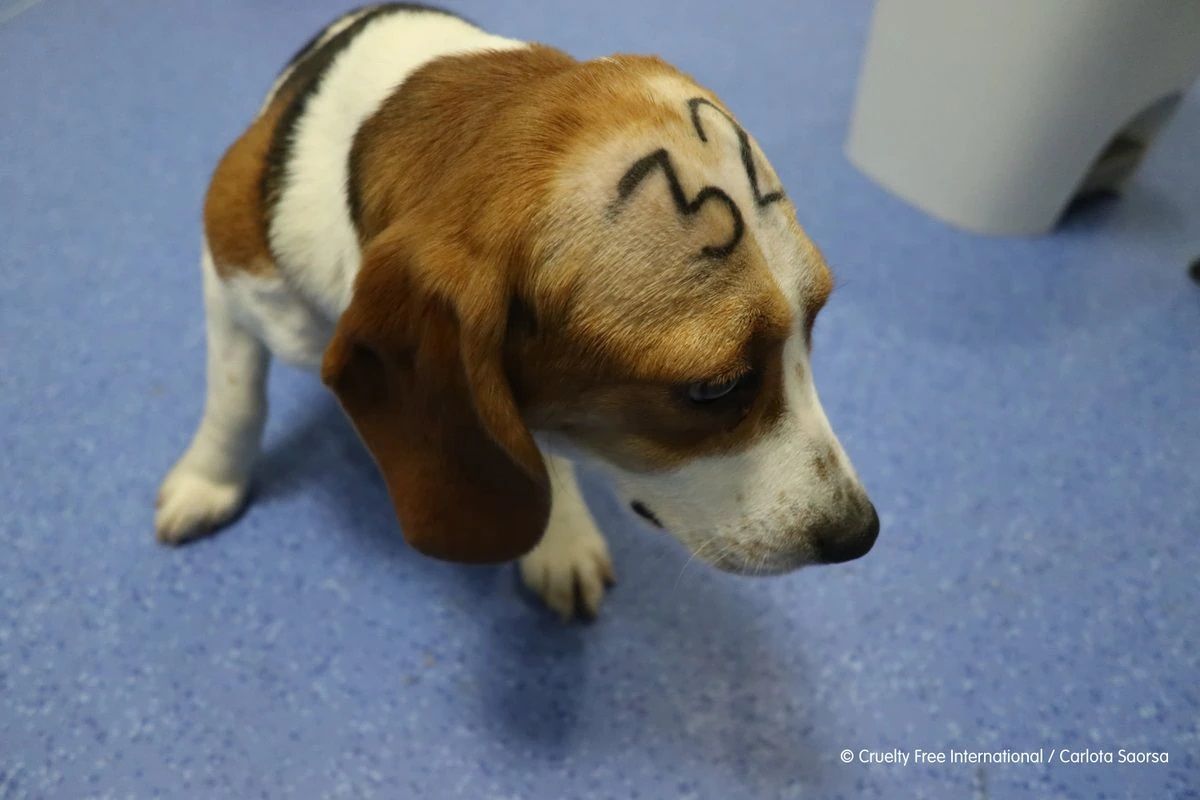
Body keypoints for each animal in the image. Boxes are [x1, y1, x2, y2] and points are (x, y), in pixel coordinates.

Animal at [154, 1, 878, 618]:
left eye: (815, 323)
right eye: (714, 389)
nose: (862, 534)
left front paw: (559, 536)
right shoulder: (226, 272)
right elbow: (237, 399)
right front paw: (209, 481)